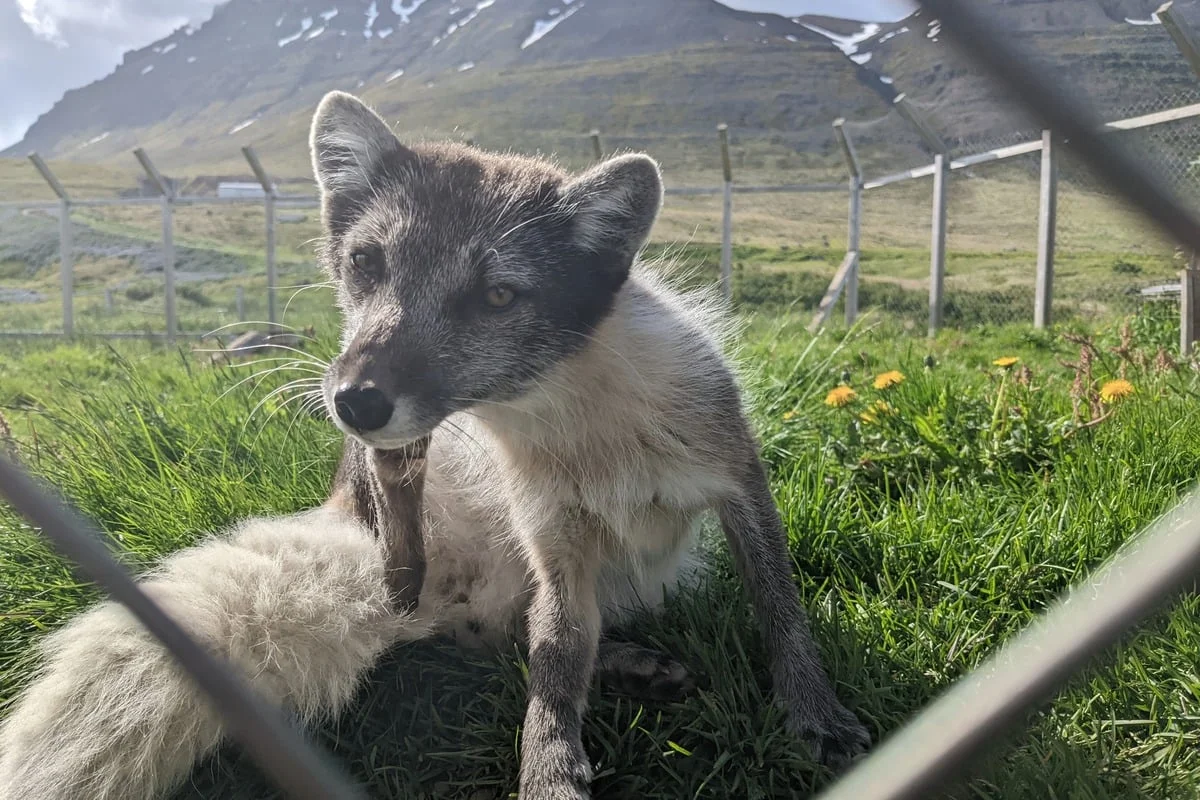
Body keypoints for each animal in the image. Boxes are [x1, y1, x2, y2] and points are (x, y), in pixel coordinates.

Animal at [0, 91, 869, 799]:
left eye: (498, 296)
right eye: (365, 262)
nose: (355, 401)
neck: (569, 416)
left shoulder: (736, 477)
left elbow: (782, 610)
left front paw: (815, 712)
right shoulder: (554, 541)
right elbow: (555, 665)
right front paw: (549, 770)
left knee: (514, 632)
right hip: (442, 541)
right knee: (496, 627)